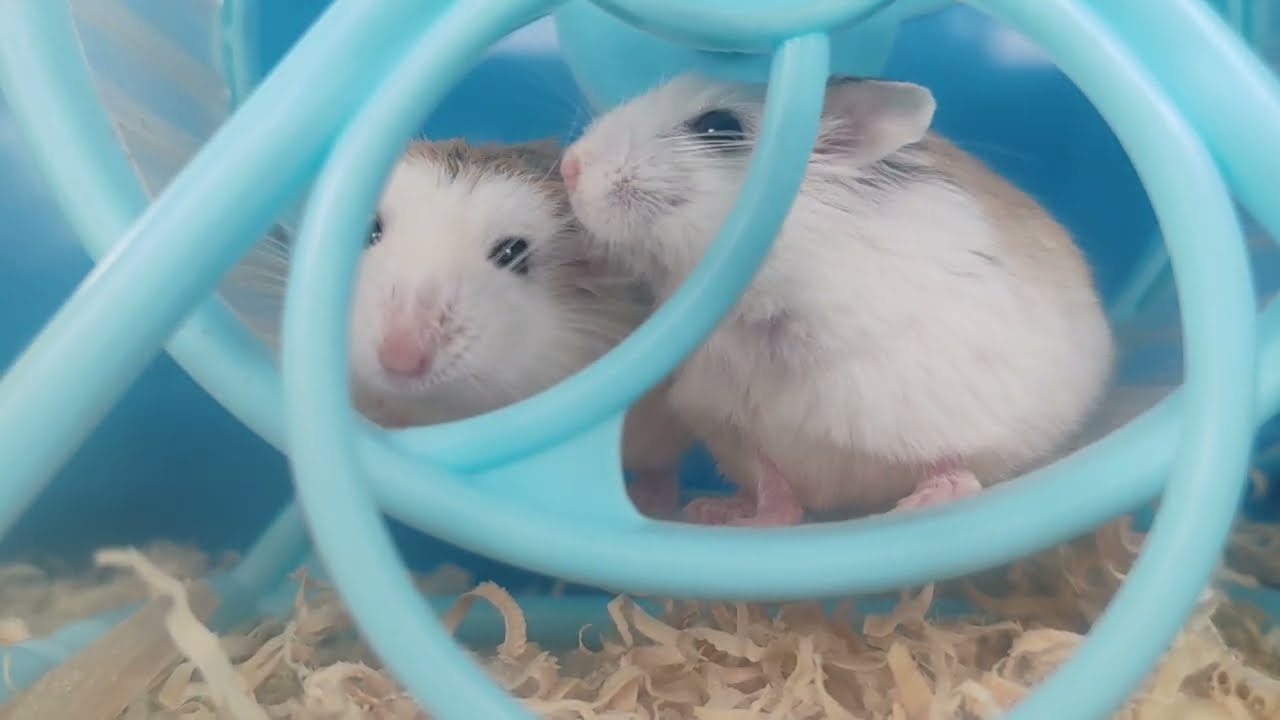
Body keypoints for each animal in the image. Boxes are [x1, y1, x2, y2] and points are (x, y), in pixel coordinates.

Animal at [558, 74, 1115, 525]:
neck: (766, 295)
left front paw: (917, 505)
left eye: (718, 126)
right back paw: (718, 509)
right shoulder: (734, 417)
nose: (569, 166)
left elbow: (953, 456)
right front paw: (745, 517)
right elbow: (773, 476)